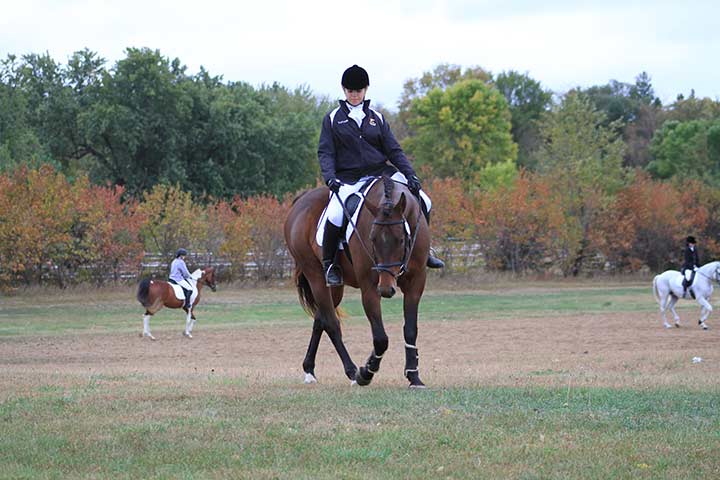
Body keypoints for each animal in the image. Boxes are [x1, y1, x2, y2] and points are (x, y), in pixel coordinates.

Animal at [284, 174, 430, 388]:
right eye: (372, 238)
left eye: (401, 239)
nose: (386, 289)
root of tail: (301, 200)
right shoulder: (369, 287)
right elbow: (380, 338)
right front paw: (366, 372)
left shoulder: (415, 283)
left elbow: (410, 330)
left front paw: (414, 376)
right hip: (315, 277)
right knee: (331, 323)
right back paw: (352, 371)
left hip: (335, 288)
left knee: (320, 319)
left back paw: (309, 369)